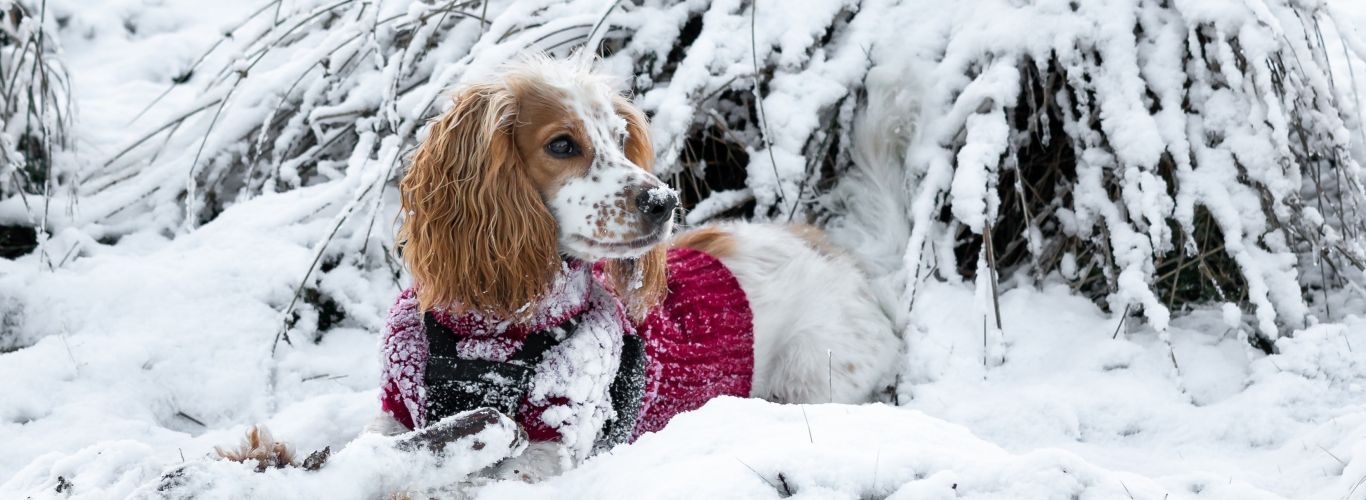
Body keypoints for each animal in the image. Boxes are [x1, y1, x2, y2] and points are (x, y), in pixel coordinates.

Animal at [368, 54, 901, 480]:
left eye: (621, 140)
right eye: (561, 145)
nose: (664, 201)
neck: (494, 328)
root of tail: (833, 250)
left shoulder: (550, 447)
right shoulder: (395, 414)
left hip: (812, 377)